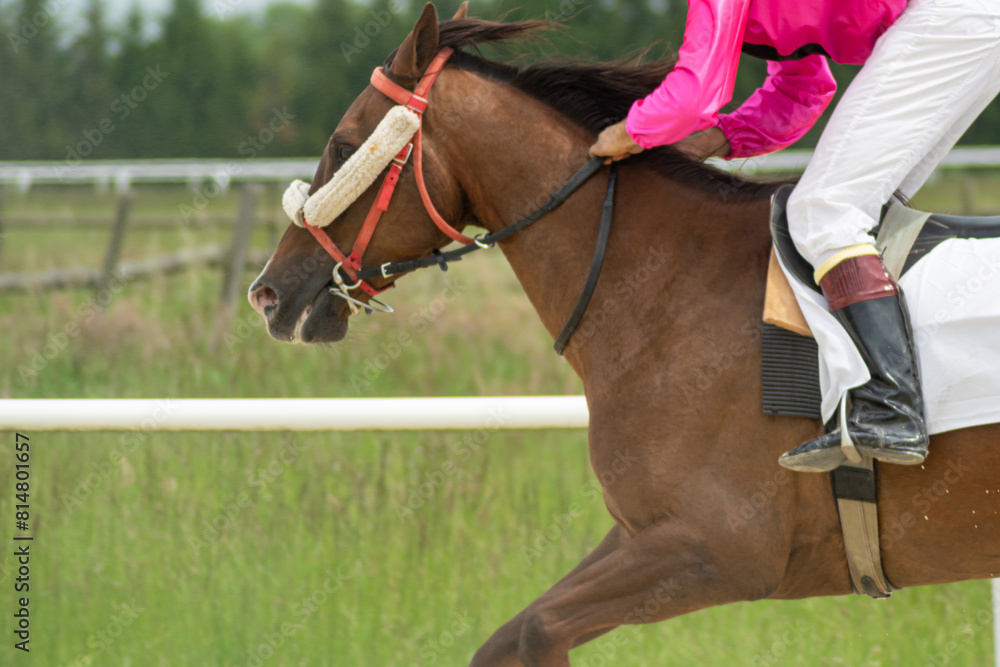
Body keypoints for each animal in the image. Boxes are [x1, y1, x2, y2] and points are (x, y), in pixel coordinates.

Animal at [248, 5, 1000, 665]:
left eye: (344, 145)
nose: (268, 292)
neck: (667, 280)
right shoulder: (644, 530)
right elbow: (511, 636)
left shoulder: (720, 545)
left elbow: (537, 631)